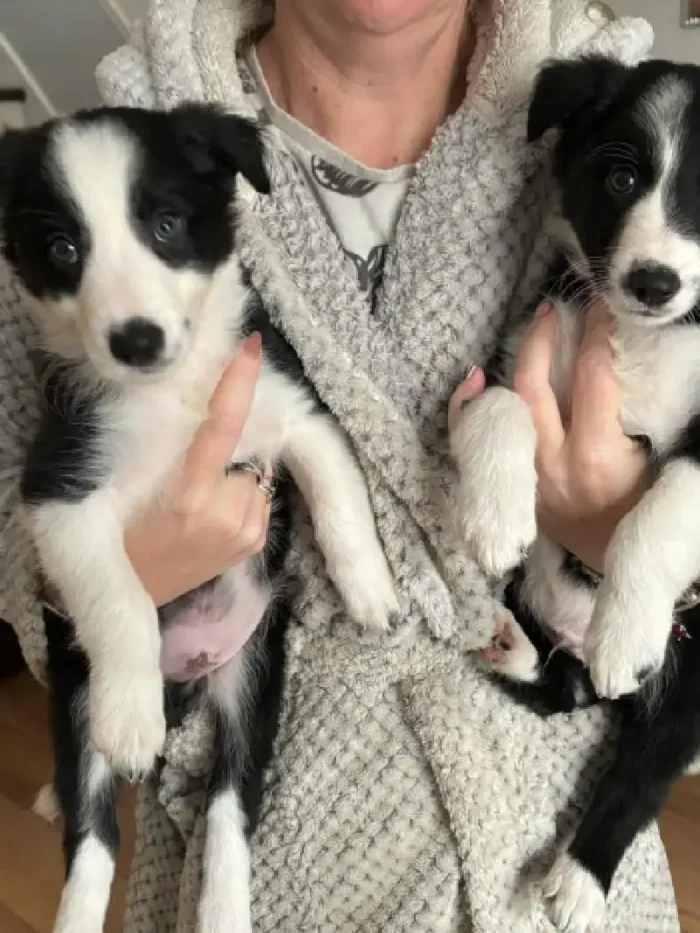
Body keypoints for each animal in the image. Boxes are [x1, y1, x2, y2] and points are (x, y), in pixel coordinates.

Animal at [0, 104, 400, 932]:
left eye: (167, 224)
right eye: (63, 249)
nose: (136, 340)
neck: (174, 391)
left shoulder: (296, 412)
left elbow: (340, 496)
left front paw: (370, 591)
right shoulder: (59, 491)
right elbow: (119, 595)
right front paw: (131, 713)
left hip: (252, 679)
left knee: (227, 804)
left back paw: (221, 905)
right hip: (74, 691)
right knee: (93, 833)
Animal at [452, 58, 700, 932]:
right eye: (620, 177)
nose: (653, 281)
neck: (652, 337)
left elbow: (666, 503)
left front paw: (627, 624)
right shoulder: (528, 342)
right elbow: (500, 407)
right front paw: (496, 513)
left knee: (642, 770)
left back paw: (583, 878)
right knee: (560, 690)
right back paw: (513, 645)